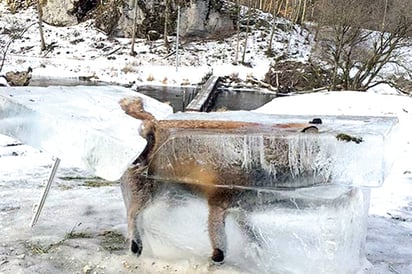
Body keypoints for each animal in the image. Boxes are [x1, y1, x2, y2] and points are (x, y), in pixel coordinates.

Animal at [119, 96, 318, 264]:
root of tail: (155, 123)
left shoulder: (240, 208)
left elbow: (252, 235)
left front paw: (257, 252)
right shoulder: (218, 203)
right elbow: (220, 244)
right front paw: (217, 259)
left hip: (171, 198)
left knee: (147, 219)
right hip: (148, 194)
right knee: (132, 215)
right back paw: (136, 244)